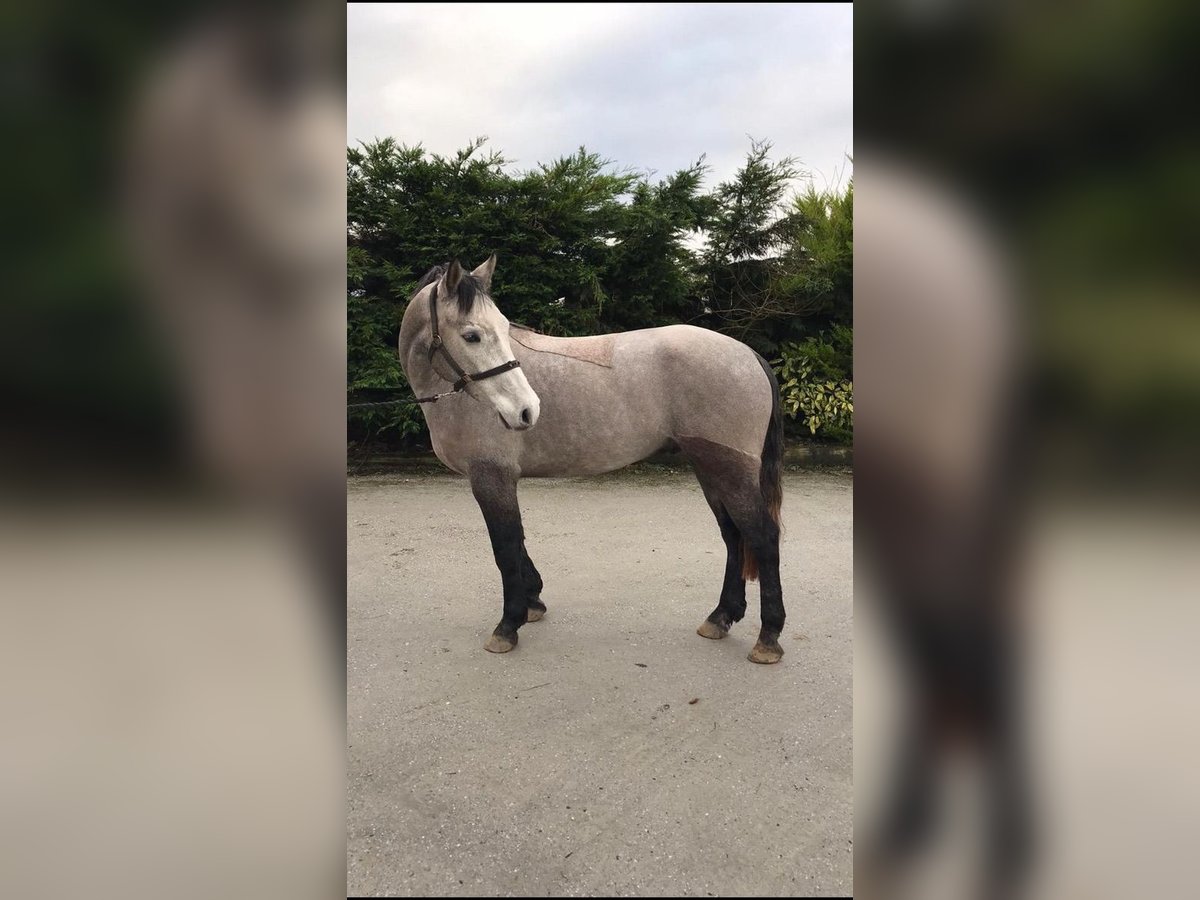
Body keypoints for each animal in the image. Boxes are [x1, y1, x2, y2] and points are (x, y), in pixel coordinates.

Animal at [396, 254, 787, 662]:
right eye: (472, 335)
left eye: (501, 329)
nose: (526, 410)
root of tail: (748, 354)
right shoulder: (500, 479)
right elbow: (518, 541)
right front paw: (533, 601)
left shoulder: (491, 475)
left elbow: (505, 546)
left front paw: (508, 624)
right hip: (710, 467)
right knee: (733, 535)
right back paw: (721, 616)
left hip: (731, 468)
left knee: (762, 536)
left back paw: (768, 636)